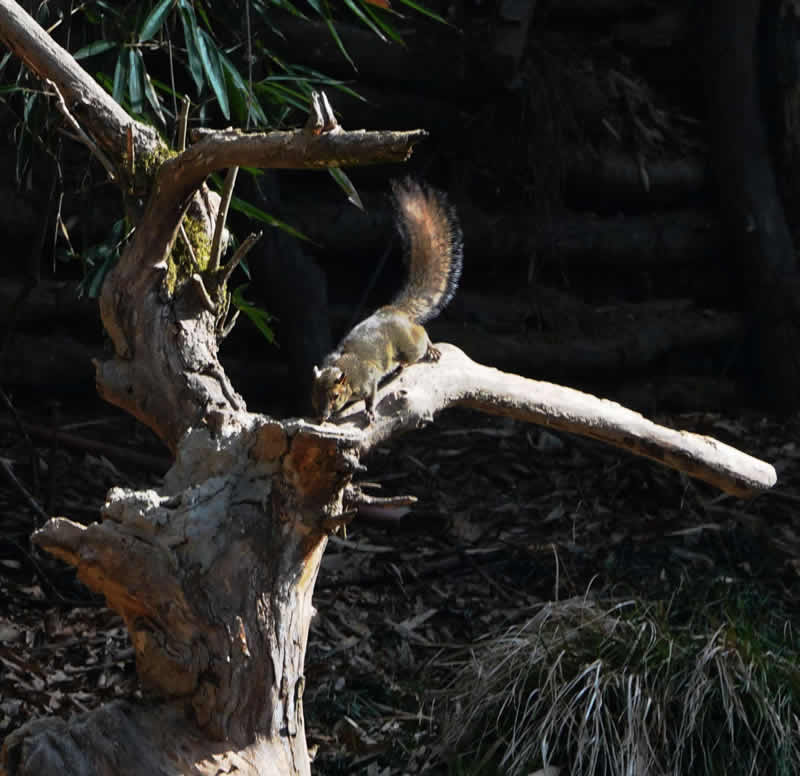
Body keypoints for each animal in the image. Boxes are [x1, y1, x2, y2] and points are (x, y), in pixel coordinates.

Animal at [310, 179, 462, 422]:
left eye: (335, 395)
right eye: (313, 395)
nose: (322, 416)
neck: (345, 369)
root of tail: (394, 310)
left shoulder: (368, 379)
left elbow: (371, 396)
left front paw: (370, 411)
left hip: (409, 346)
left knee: (421, 337)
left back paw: (429, 350)